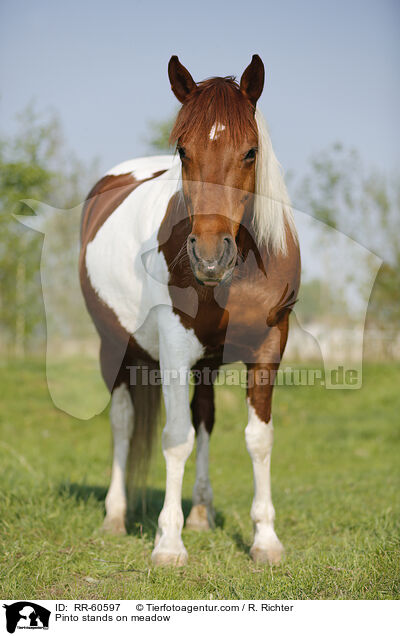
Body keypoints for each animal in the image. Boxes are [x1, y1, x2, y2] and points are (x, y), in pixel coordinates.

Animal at [79, 53, 300, 560]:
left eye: (251, 152)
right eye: (183, 151)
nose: (209, 257)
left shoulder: (269, 344)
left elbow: (258, 438)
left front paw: (266, 539)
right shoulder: (176, 348)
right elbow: (174, 438)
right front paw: (168, 543)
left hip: (206, 363)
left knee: (205, 419)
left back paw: (200, 512)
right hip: (113, 347)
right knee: (123, 424)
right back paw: (115, 516)